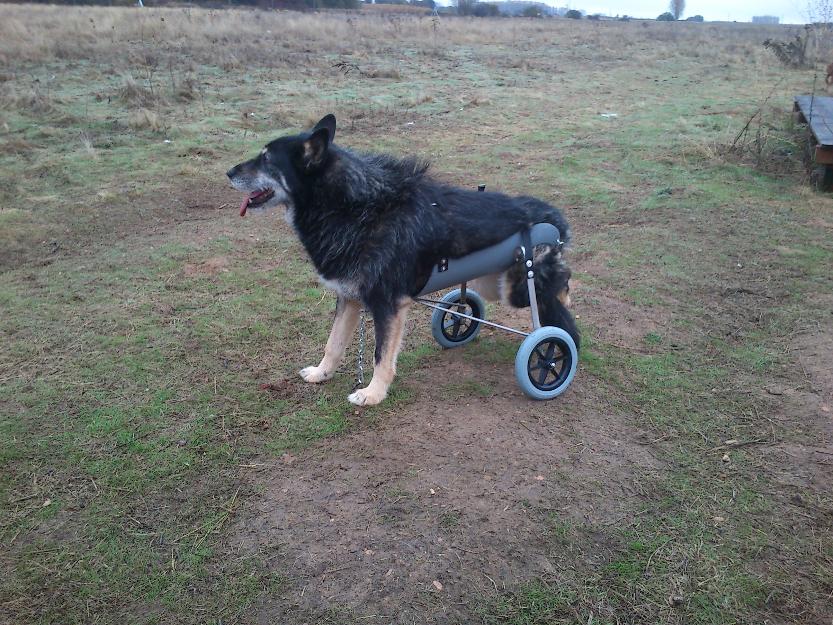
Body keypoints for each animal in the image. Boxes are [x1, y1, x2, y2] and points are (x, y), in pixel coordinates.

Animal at [228, 113, 580, 404]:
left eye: (266, 159)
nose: (229, 172)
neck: (354, 207)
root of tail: (555, 217)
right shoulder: (349, 298)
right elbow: (334, 343)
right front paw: (321, 373)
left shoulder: (388, 305)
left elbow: (380, 355)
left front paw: (372, 394)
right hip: (488, 283)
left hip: (517, 289)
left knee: (561, 290)